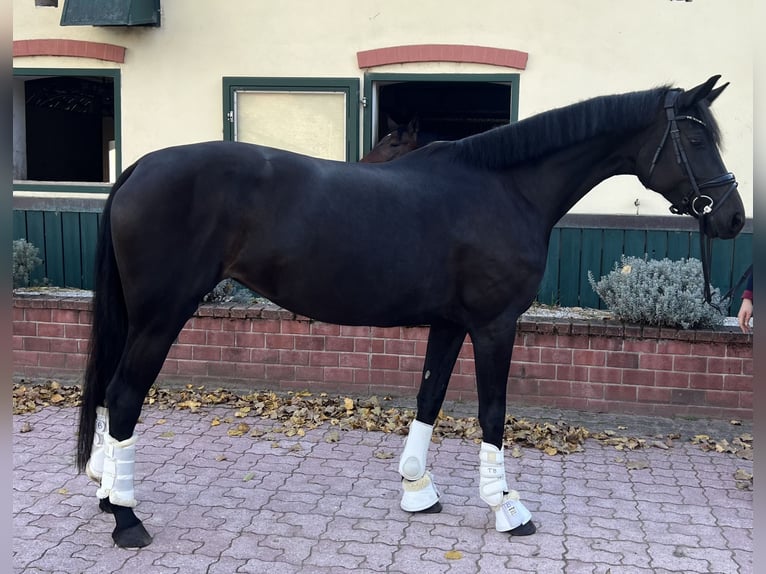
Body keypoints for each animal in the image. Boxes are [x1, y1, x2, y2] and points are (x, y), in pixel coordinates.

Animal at [76, 75, 744, 548]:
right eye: (695, 139)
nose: (733, 218)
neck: (504, 187)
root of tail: (136, 167)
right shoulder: (496, 326)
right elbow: (492, 411)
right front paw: (506, 506)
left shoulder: (449, 323)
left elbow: (430, 395)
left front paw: (418, 487)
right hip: (161, 316)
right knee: (126, 395)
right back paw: (127, 520)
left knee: (111, 395)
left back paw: (110, 495)